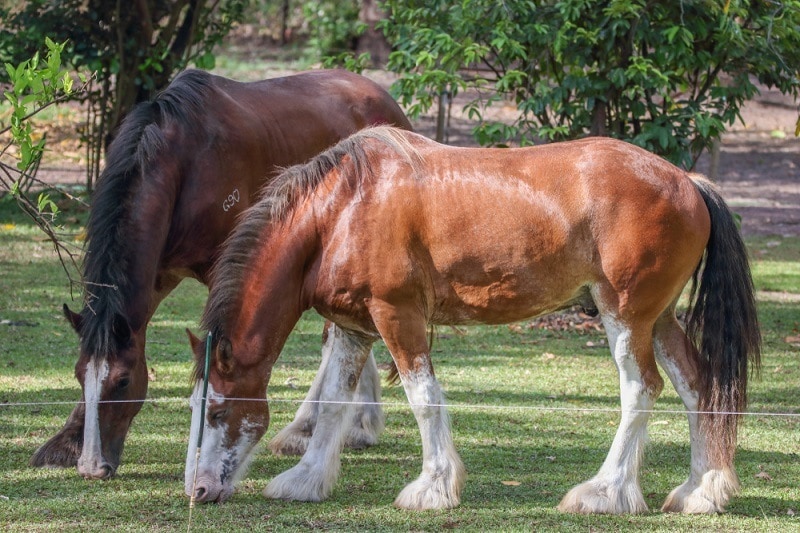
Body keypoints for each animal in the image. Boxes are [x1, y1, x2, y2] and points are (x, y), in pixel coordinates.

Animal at [29, 68, 412, 480]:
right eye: (78, 375)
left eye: (123, 381)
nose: (92, 466)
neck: (185, 161)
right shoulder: (159, 273)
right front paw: (67, 441)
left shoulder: (230, 273)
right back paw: (357, 425)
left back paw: (310, 427)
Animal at [184, 124, 760, 512]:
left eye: (217, 410)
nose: (198, 489)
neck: (342, 210)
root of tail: (686, 180)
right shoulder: (353, 327)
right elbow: (332, 403)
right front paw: (305, 480)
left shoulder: (397, 316)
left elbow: (423, 398)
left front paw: (432, 488)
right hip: (658, 319)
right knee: (698, 387)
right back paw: (700, 491)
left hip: (625, 314)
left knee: (640, 390)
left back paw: (605, 491)